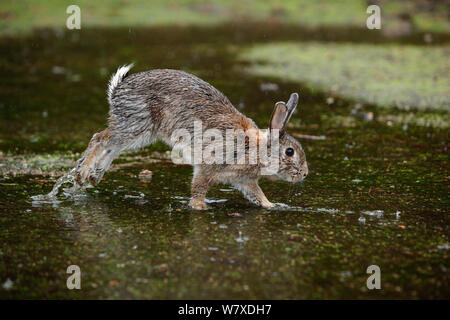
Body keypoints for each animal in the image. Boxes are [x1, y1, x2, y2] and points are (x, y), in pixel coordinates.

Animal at [74, 64, 306, 210]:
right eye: (290, 152)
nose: (304, 174)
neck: (256, 149)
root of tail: (118, 90)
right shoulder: (208, 168)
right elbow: (198, 189)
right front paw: (200, 208)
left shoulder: (245, 181)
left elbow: (258, 195)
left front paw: (272, 206)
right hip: (136, 125)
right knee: (100, 138)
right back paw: (83, 173)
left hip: (138, 132)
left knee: (112, 146)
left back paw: (94, 176)